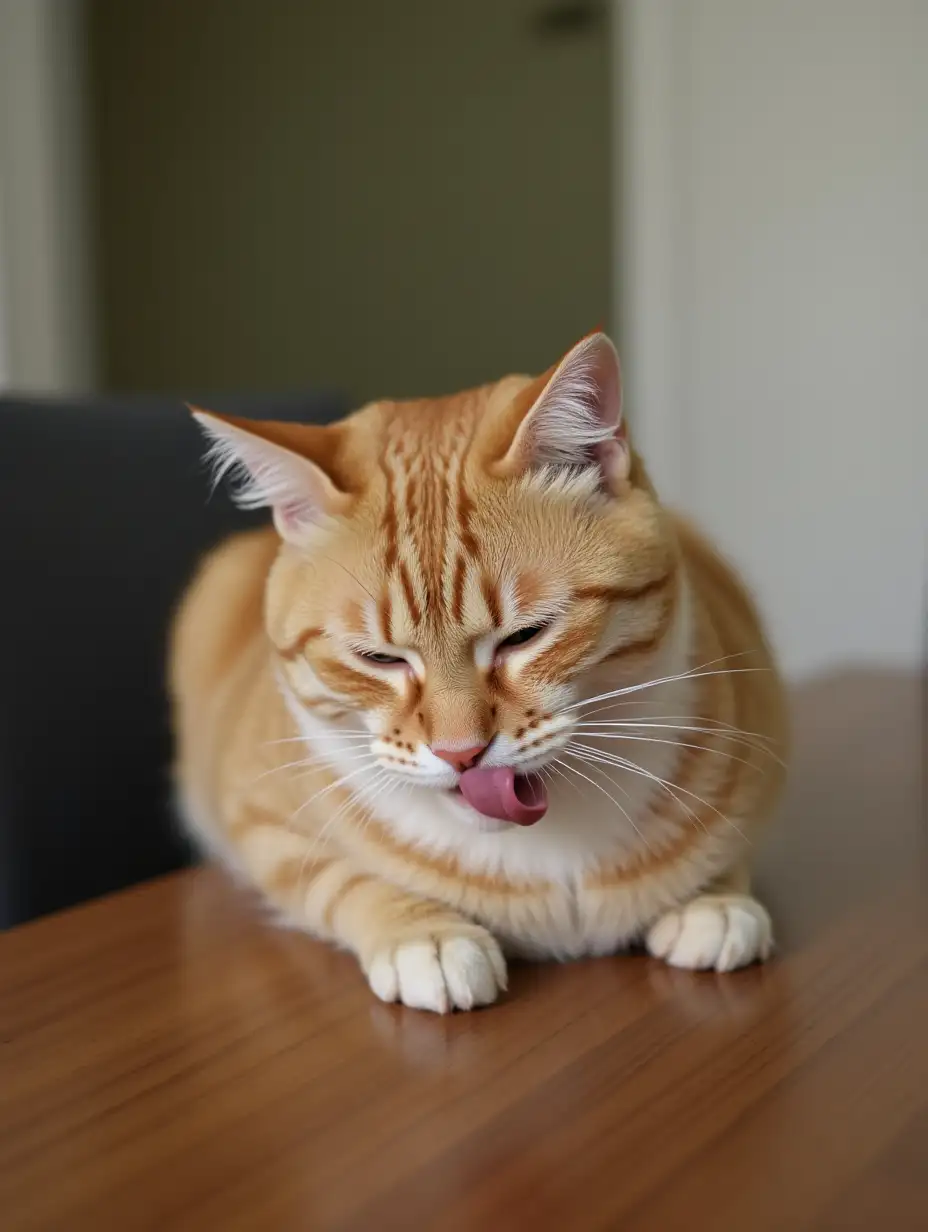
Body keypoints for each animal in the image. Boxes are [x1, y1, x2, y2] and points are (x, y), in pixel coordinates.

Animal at [170, 330, 783, 1010]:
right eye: (379, 658)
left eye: (525, 636)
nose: (461, 754)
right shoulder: (265, 825)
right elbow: (340, 879)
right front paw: (426, 937)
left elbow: (730, 838)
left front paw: (712, 899)